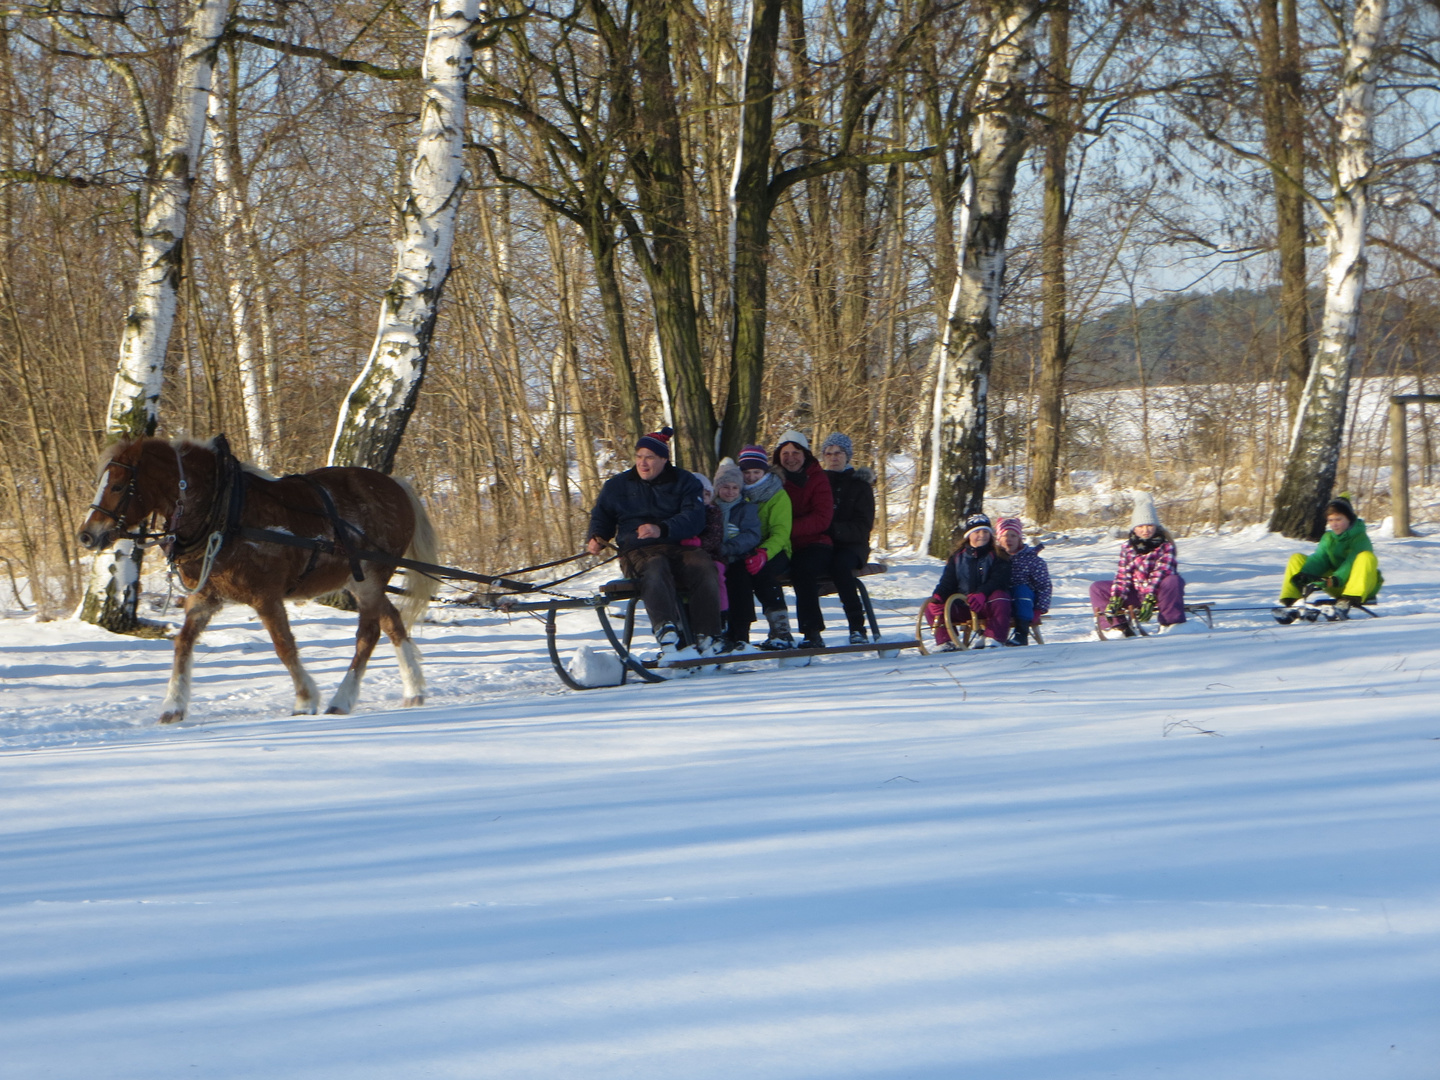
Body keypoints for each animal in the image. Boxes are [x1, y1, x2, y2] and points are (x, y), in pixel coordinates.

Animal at [77, 437, 437, 728]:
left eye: (118, 486)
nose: (87, 535)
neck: (224, 513)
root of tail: (395, 484)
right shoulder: (206, 598)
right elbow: (183, 644)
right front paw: (173, 706)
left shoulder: (265, 597)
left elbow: (284, 646)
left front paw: (305, 699)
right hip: (360, 580)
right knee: (392, 622)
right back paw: (414, 689)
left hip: (370, 579)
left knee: (369, 633)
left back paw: (342, 699)